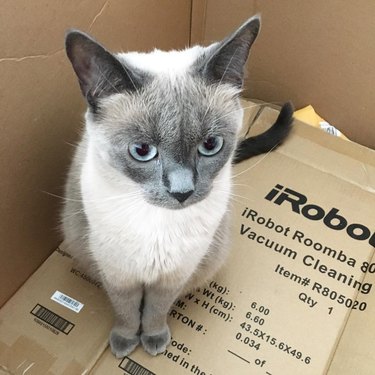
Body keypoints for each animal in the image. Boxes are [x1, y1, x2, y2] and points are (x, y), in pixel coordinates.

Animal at [62, 15, 294, 358]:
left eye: (210, 145)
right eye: (142, 150)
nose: (181, 192)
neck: (158, 223)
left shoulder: (174, 275)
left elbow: (155, 311)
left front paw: (153, 340)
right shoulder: (118, 273)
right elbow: (127, 311)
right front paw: (125, 342)